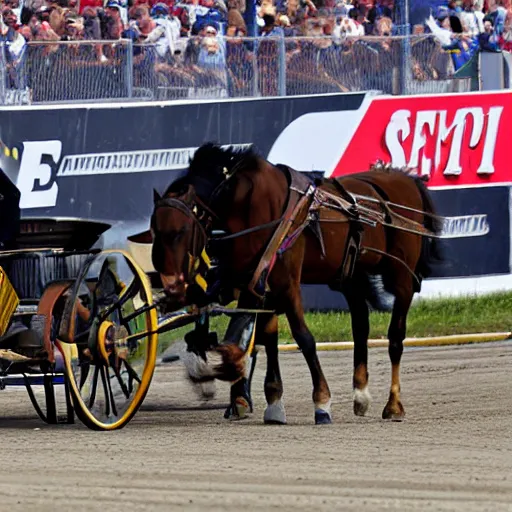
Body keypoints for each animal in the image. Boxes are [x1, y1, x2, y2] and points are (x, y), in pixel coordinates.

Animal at [150, 143, 442, 424]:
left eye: (179, 232)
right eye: (155, 231)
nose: (172, 287)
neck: (253, 204)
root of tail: (405, 179)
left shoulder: (284, 281)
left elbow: (303, 337)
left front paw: (321, 402)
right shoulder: (253, 279)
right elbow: (262, 337)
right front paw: (267, 397)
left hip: (401, 277)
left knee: (395, 338)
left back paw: (393, 405)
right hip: (352, 275)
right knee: (360, 326)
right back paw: (361, 395)